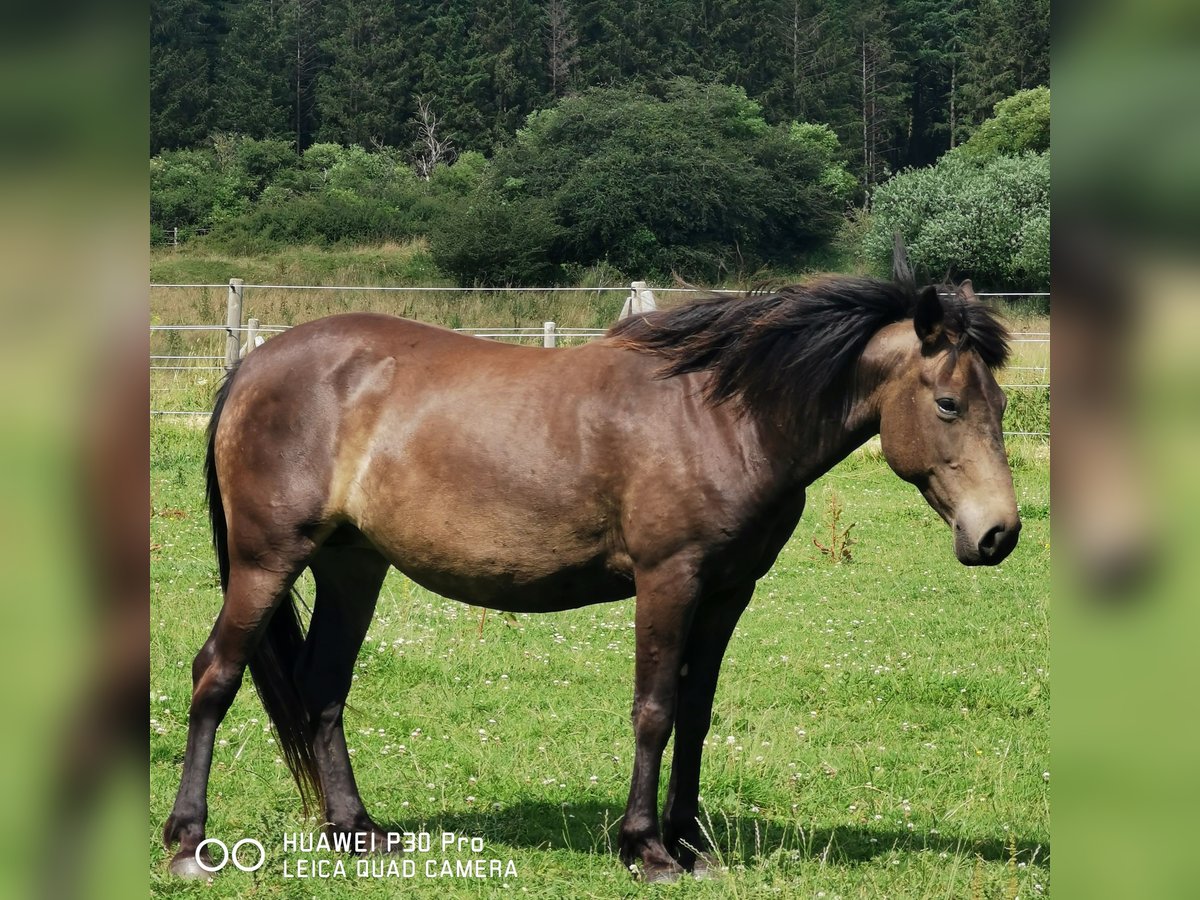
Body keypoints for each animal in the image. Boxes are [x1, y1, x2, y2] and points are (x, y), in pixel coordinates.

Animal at [159, 271, 1022, 883]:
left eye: (1002, 405)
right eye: (949, 403)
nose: (998, 533)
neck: (722, 416)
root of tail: (252, 367)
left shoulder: (728, 592)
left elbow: (696, 714)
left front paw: (691, 842)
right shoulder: (670, 580)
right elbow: (654, 710)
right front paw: (646, 849)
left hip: (352, 566)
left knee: (323, 689)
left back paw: (358, 833)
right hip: (268, 561)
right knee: (216, 674)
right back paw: (188, 842)